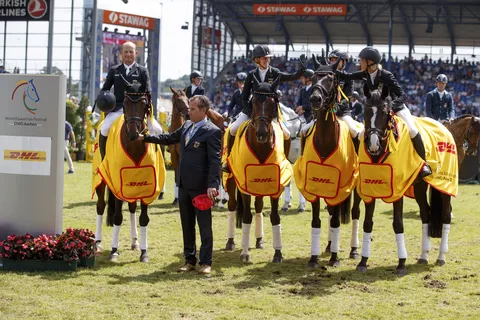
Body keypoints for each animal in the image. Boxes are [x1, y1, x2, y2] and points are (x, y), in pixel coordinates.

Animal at [360, 85, 458, 276]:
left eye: (385, 112)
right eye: (366, 111)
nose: (373, 144)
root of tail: (443, 126)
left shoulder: (397, 191)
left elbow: (398, 224)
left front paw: (401, 264)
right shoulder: (369, 191)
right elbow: (367, 223)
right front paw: (362, 261)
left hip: (445, 186)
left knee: (445, 215)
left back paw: (441, 257)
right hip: (419, 186)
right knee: (426, 214)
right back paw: (423, 256)